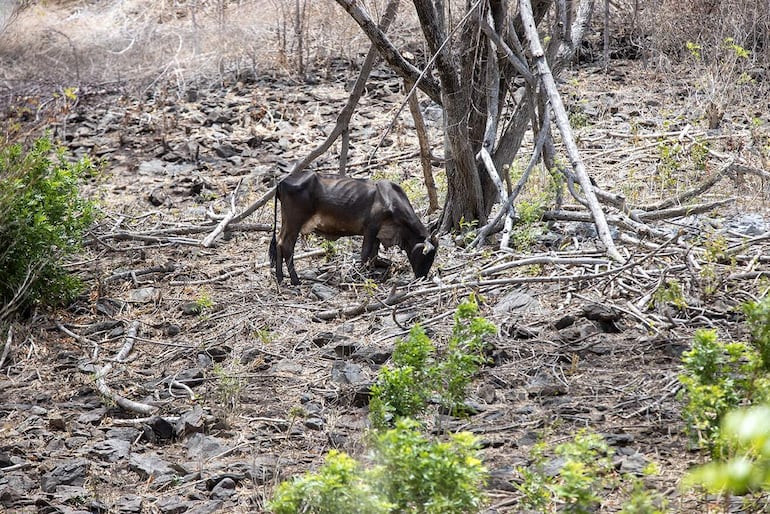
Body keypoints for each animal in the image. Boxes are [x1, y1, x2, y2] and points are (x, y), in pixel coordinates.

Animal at [269, 172, 438, 285]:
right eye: (426, 256)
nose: (422, 277)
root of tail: (282, 182)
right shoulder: (370, 228)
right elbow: (365, 253)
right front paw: (360, 276)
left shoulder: (378, 235)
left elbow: (374, 256)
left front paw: (371, 274)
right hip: (294, 222)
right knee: (287, 246)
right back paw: (295, 280)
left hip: (287, 223)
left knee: (279, 243)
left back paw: (280, 278)